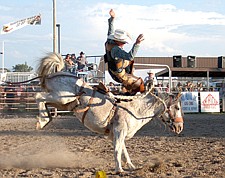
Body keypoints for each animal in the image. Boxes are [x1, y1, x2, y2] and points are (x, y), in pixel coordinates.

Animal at [34, 52, 183, 174]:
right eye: (177, 108)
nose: (180, 127)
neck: (134, 109)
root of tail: (56, 73)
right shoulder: (119, 131)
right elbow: (117, 150)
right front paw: (119, 169)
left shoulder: (117, 133)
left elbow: (123, 150)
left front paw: (131, 166)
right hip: (62, 97)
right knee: (39, 96)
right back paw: (41, 121)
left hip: (64, 102)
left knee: (45, 101)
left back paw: (45, 119)